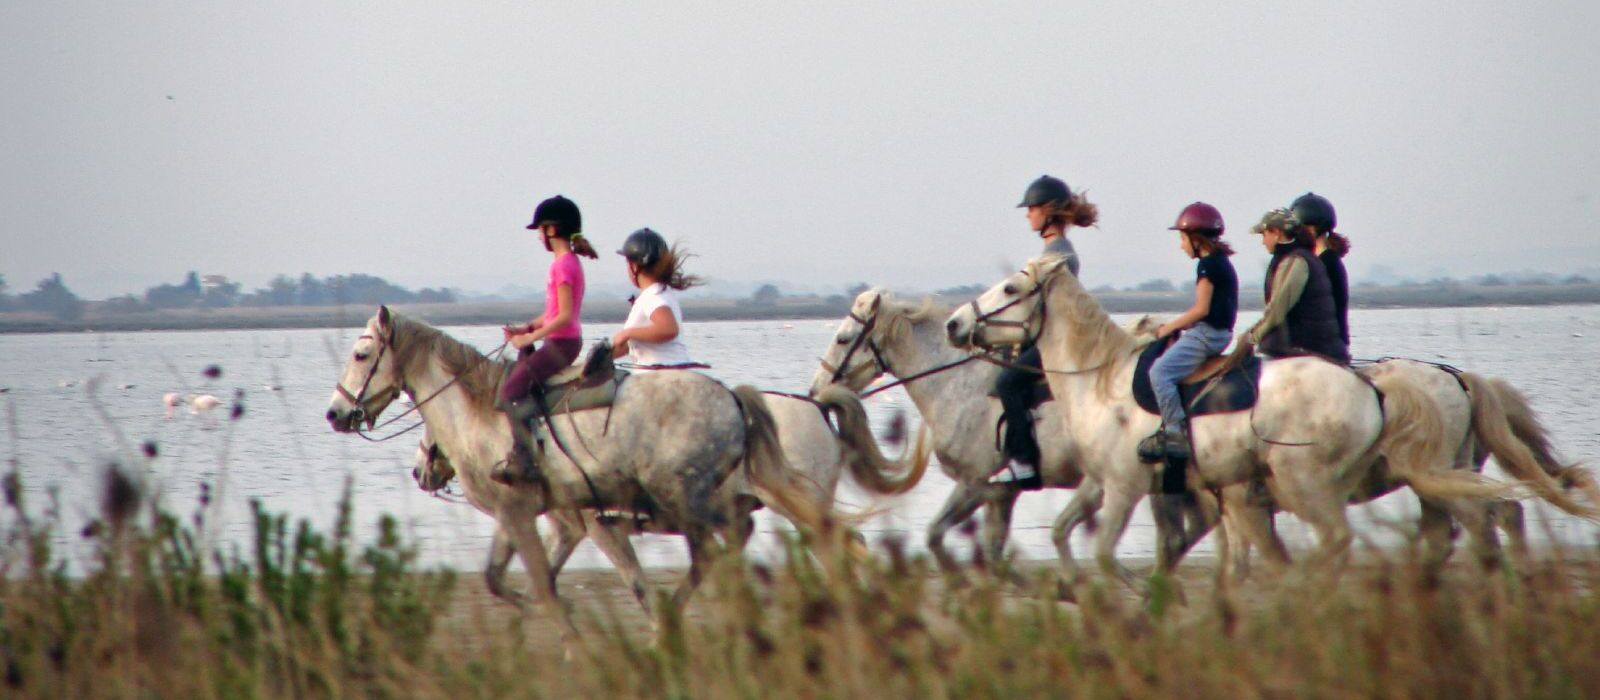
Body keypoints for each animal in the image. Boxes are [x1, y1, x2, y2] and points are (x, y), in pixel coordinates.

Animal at [947, 257, 1523, 591]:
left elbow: (1110, 553)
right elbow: (1076, 534)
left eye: (1010, 288)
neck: (1101, 378)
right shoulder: (1116, 484)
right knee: (1469, 523)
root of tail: (1371, 388)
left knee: (1356, 538)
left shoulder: (1126, 486)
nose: (955, 323)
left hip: (1306, 482)